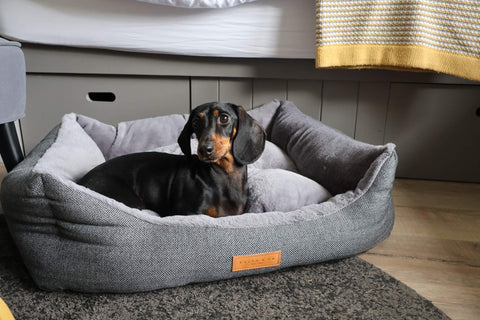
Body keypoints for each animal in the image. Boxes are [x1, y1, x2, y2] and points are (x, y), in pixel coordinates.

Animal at [79, 102, 266, 218]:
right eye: (195, 122)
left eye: (224, 118)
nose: (204, 150)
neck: (224, 176)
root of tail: (81, 181)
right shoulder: (188, 214)